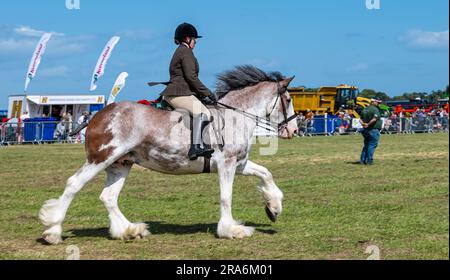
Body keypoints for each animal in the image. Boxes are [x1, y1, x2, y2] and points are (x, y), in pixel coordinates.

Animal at [39, 66, 298, 245]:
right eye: (288, 99)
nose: (294, 131)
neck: (235, 116)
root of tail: (97, 115)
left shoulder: (239, 163)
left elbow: (266, 174)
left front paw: (273, 207)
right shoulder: (227, 164)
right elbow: (226, 197)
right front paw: (231, 230)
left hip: (121, 163)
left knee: (108, 197)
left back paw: (129, 230)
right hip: (101, 158)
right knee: (74, 185)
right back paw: (53, 231)